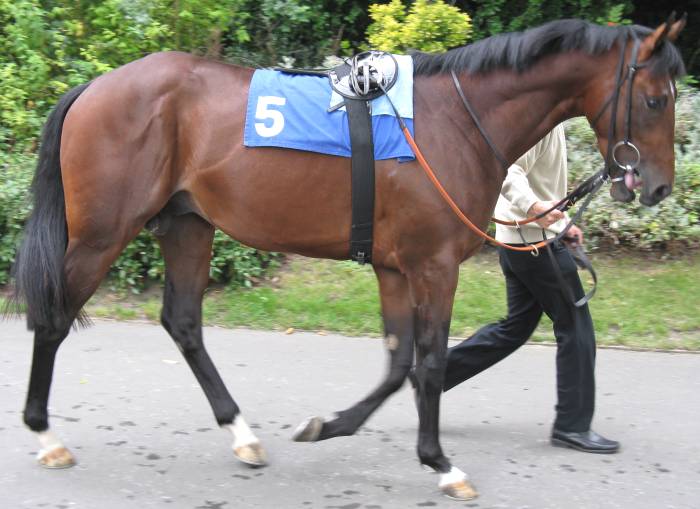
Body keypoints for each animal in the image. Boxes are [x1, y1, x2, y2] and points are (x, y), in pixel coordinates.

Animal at [10, 17, 685, 500]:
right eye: (655, 99)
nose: (656, 187)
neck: (457, 122)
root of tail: (94, 87)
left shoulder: (393, 266)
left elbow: (397, 363)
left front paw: (328, 426)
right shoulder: (433, 265)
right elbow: (429, 361)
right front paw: (441, 464)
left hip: (187, 226)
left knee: (183, 322)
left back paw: (242, 434)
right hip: (102, 233)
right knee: (54, 317)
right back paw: (44, 435)